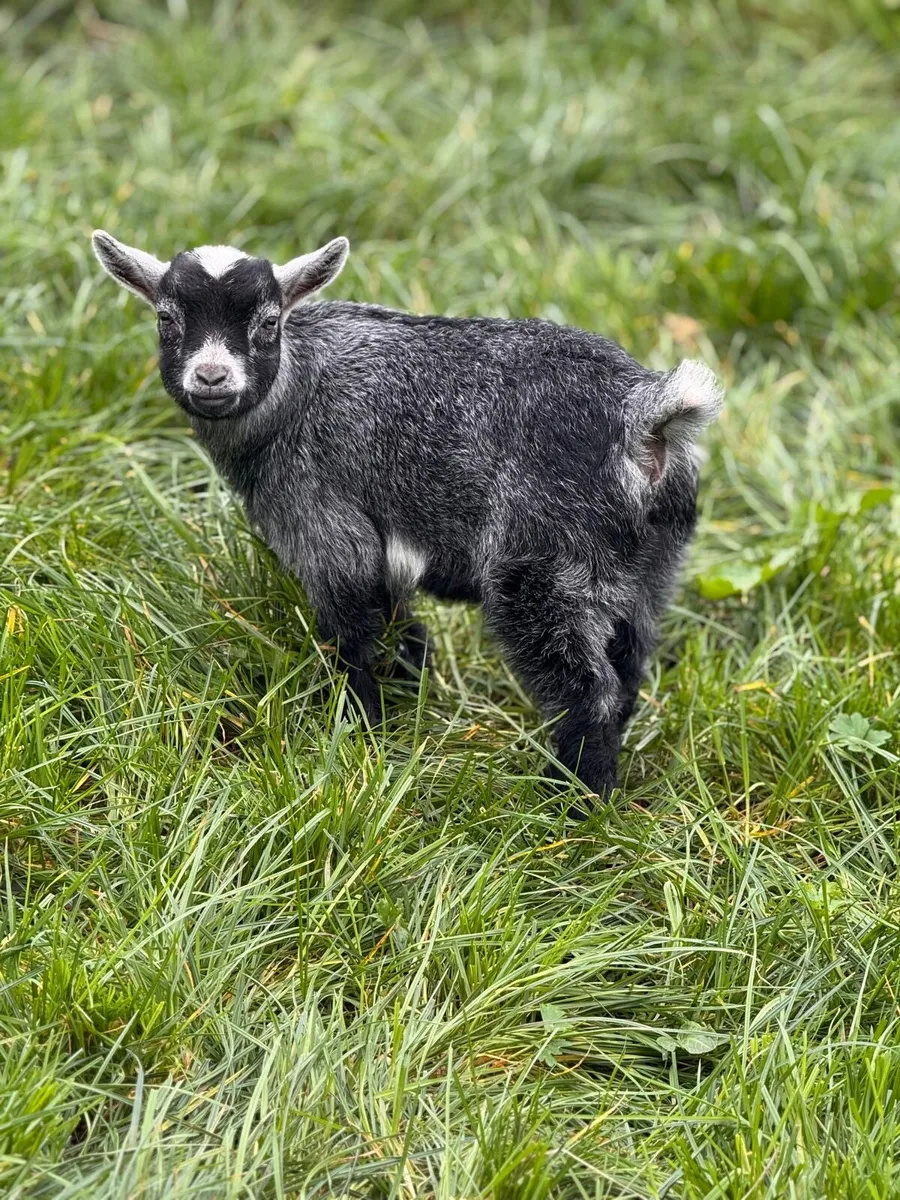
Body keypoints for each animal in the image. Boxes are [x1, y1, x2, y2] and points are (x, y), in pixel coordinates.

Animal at [92, 230, 722, 806]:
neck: (298, 387)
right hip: (651, 567)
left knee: (588, 691)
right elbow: (403, 631)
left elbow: (350, 640)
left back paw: (571, 800)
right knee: (629, 669)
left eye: (269, 322)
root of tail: (644, 418)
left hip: (544, 571)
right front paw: (407, 698)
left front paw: (358, 733)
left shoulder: (327, 530)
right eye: (166, 318)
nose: (211, 378)